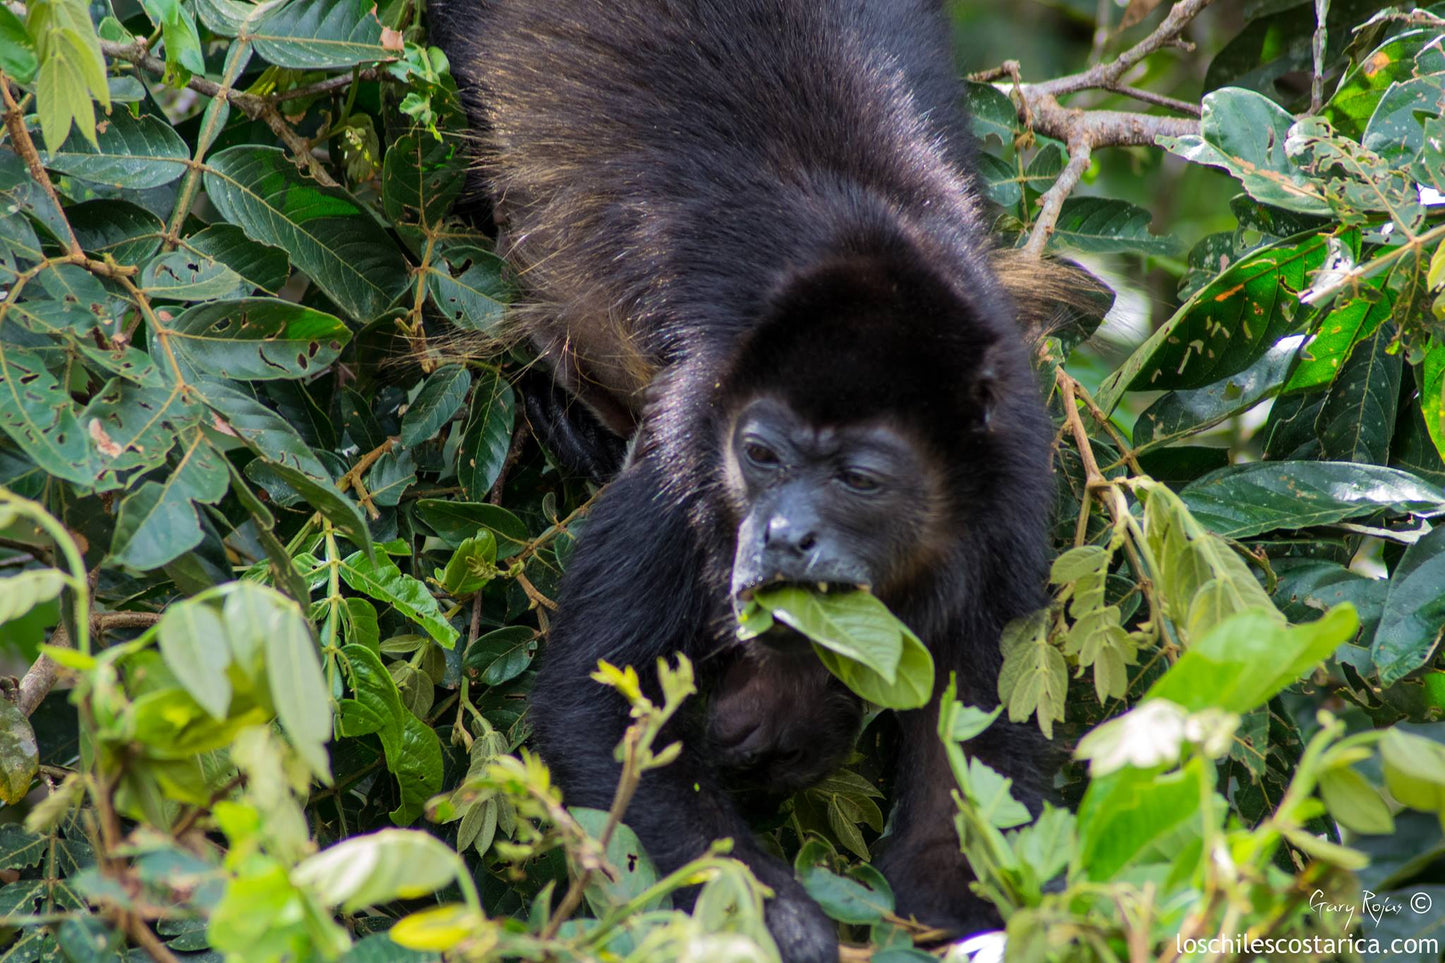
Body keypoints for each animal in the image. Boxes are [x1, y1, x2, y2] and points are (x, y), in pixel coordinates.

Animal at [433, 3, 1057, 954]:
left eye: (860, 477)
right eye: (761, 455)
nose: (782, 534)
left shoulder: (1013, 488)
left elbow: (974, 776)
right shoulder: (688, 449)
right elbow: (597, 712)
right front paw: (776, 922)